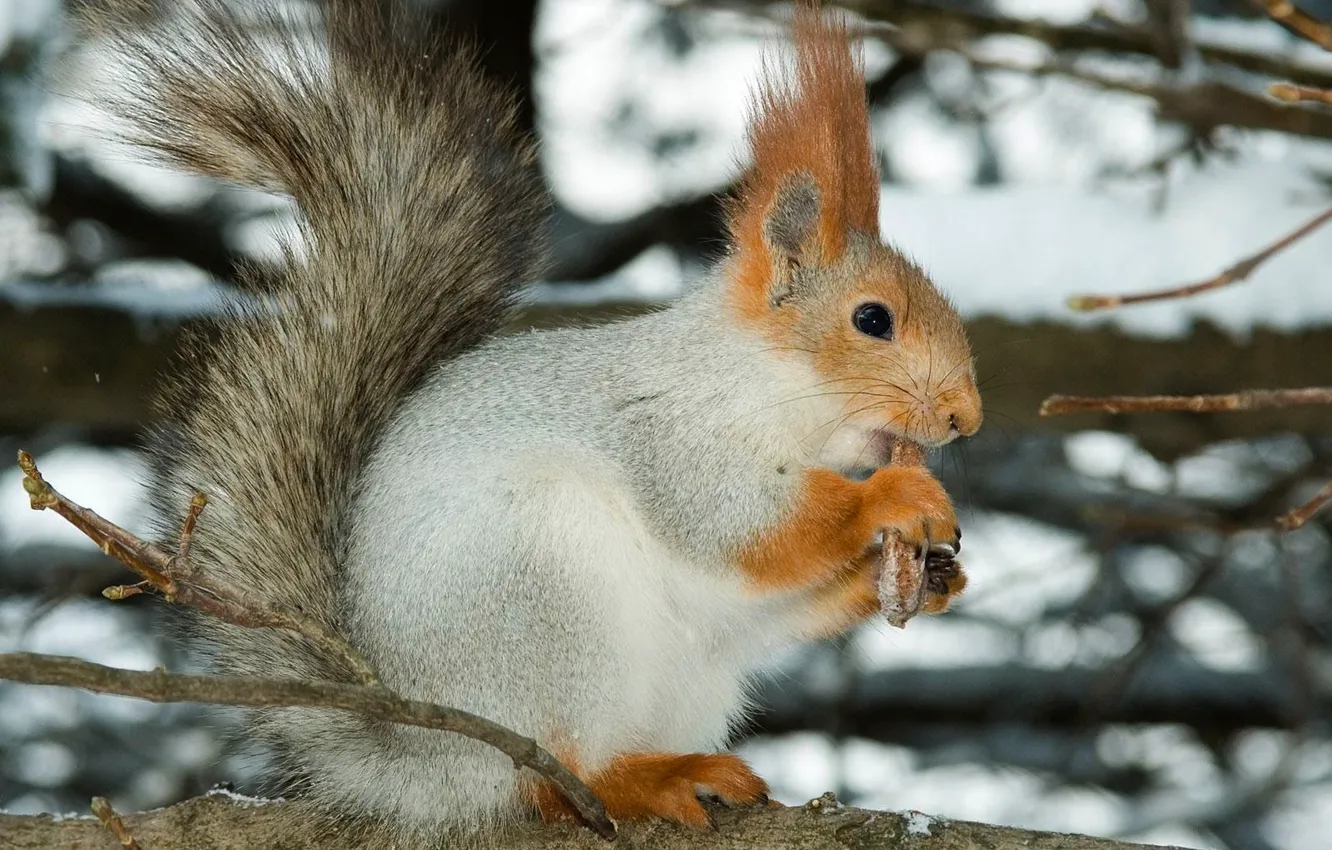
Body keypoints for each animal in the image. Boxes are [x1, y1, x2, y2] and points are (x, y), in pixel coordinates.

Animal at [84, 0, 981, 842]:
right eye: (872, 320)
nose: (966, 418)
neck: (761, 382)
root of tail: (426, 757)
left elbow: (770, 602)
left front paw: (926, 576)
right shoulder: (671, 438)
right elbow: (743, 525)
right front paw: (894, 499)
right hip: (542, 586)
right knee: (551, 780)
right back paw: (640, 781)